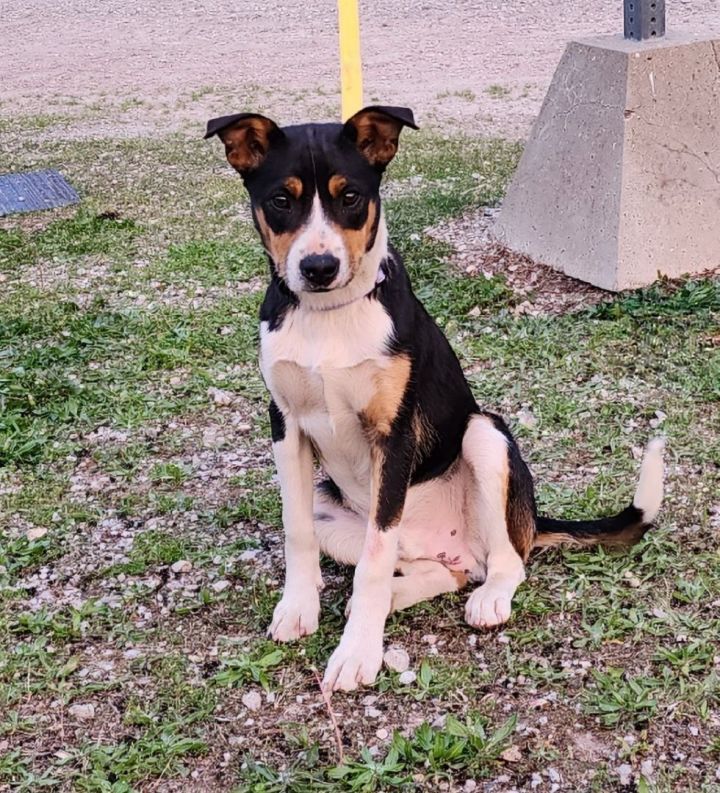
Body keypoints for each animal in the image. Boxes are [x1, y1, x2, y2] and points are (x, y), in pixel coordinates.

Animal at [202, 106, 664, 692]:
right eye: (281, 201)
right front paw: (299, 608)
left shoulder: (394, 436)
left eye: (350, 196)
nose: (319, 268)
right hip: (337, 507)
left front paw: (358, 653)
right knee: (439, 572)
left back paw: (485, 598)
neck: (329, 317)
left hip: (485, 435)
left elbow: (374, 561)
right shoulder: (285, 425)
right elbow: (297, 530)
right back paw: (398, 593)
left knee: (504, 561)